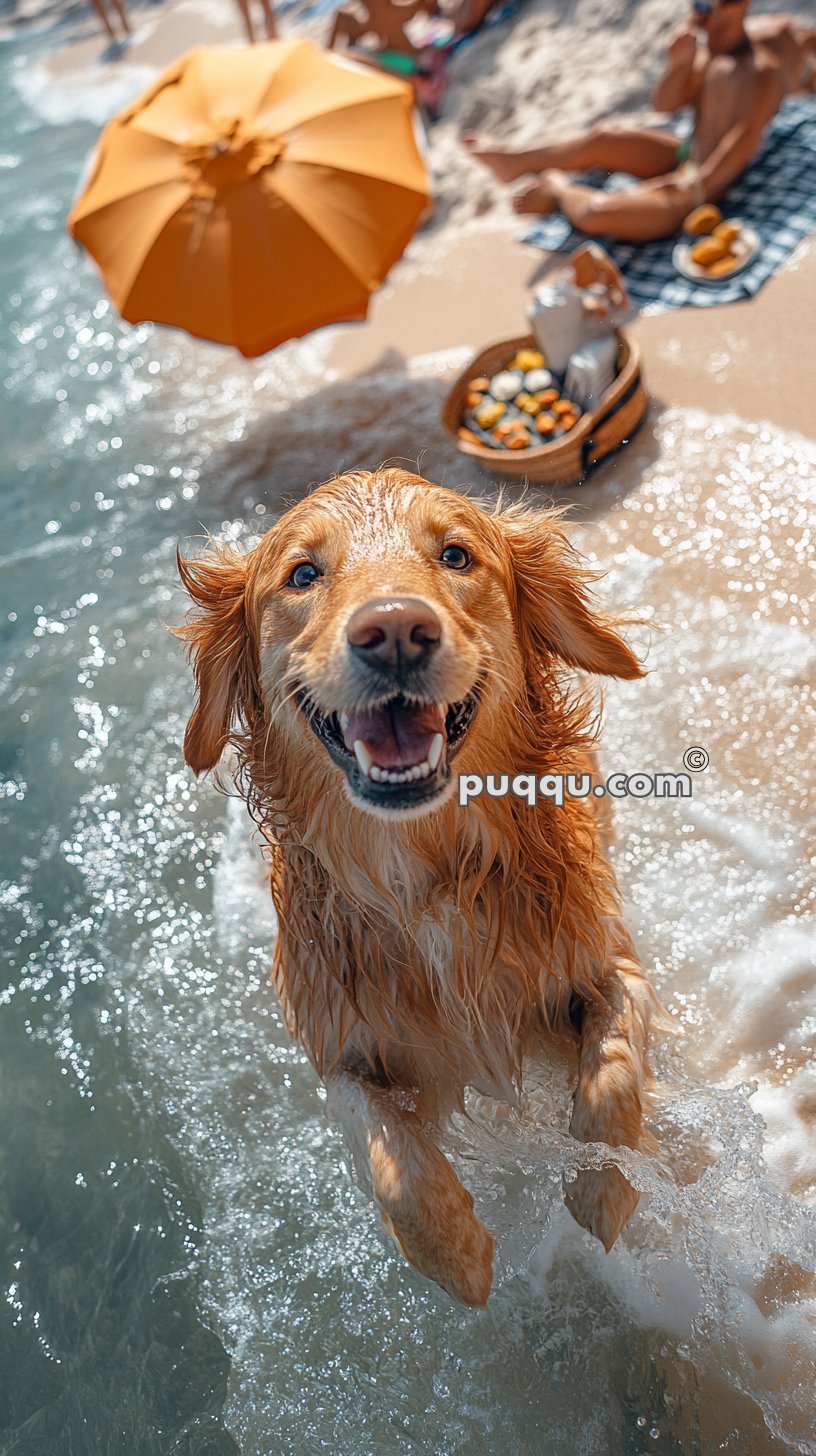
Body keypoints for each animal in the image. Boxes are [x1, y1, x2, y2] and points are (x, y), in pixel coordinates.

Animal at [177, 468, 655, 1310]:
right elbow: (388, 1154)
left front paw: (603, 1190)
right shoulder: (338, 1042)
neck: (423, 875)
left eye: (456, 555)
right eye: (303, 574)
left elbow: (612, 1073)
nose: (395, 629)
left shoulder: (608, 961)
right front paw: (454, 1253)